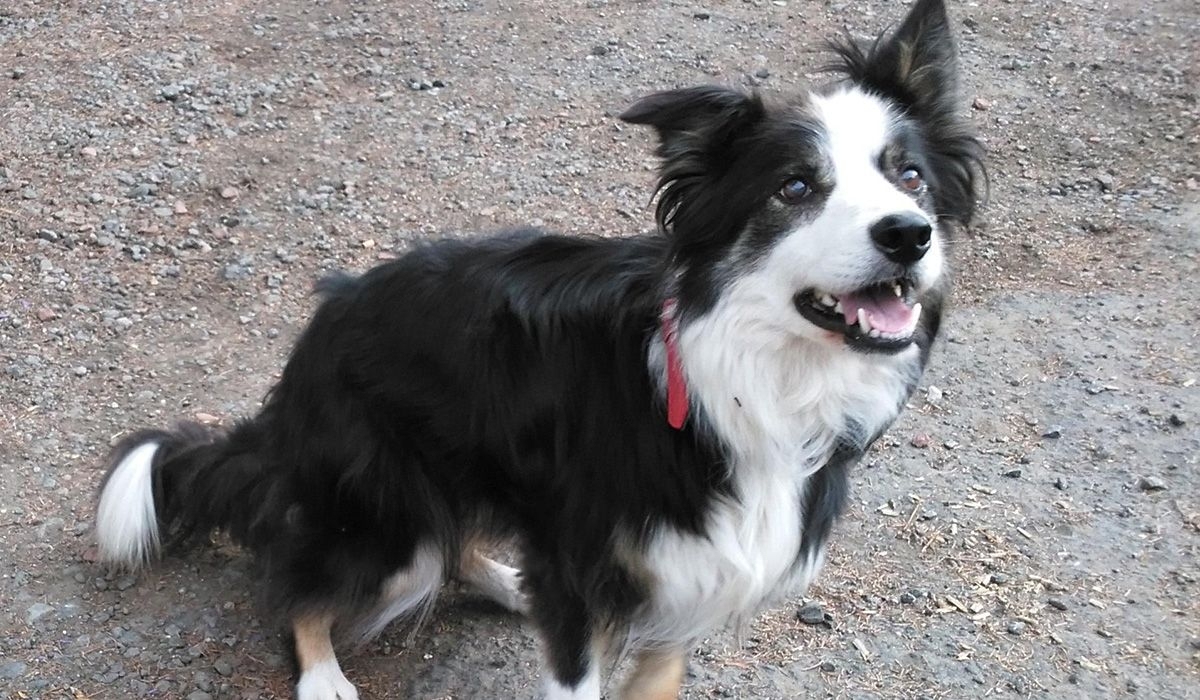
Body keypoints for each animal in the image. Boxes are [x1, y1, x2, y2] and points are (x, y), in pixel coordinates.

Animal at [96, 0, 984, 696]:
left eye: (909, 176)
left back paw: (508, 582)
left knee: (456, 546)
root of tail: (321, 328)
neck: (746, 378)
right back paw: (322, 676)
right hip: (381, 512)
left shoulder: (686, 579)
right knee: (304, 580)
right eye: (794, 188)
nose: (909, 235)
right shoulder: (587, 569)